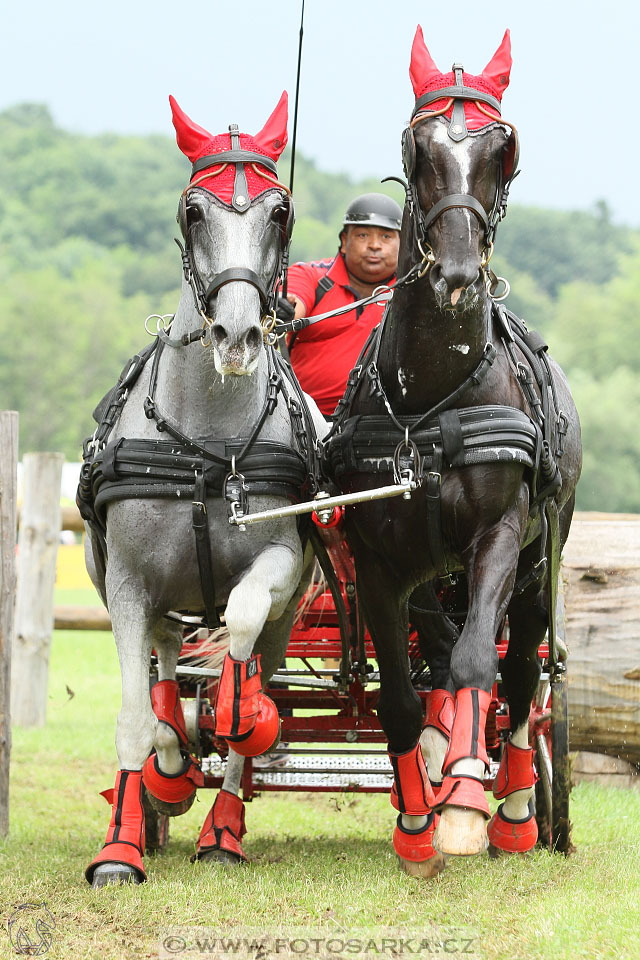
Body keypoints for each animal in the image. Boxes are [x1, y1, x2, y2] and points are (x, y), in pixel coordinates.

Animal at [80, 94, 328, 888]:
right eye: (194, 210)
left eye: (279, 211)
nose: (239, 336)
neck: (206, 448)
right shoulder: (127, 585)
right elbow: (135, 717)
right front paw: (121, 846)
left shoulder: (279, 563)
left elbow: (244, 637)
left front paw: (236, 712)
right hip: (152, 596)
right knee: (162, 659)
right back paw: (166, 762)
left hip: (286, 618)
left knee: (254, 685)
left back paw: (223, 826)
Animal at [328, 30, 584, 872]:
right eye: (419, 147)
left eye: (504, 149)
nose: (459, 275)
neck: (431, 396)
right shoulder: (375, 563)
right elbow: (401, 700)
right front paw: (416, 820)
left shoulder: (500, 535)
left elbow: (481, 663)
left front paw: (469, 803)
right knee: (442, 649)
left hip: (540, 561)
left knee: (519, 668)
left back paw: (515, 807)